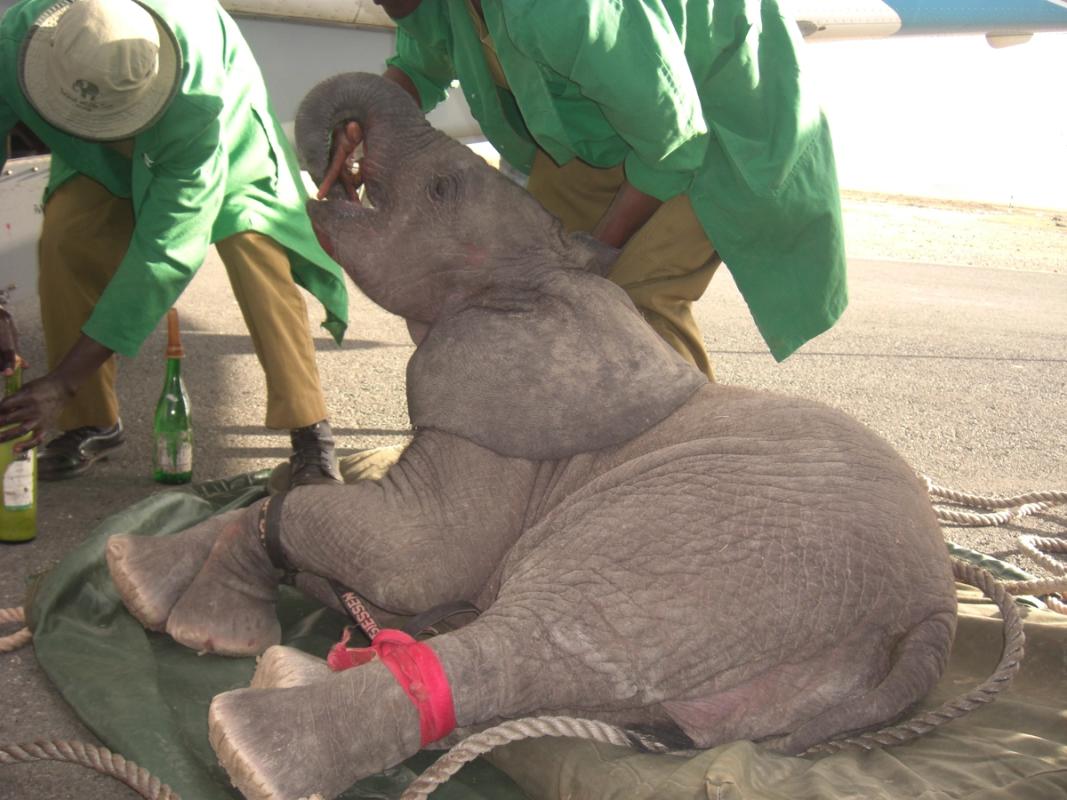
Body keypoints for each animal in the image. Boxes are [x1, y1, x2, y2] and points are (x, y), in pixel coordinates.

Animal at [104, 73, 958, 800]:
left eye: (444, 186)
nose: (343, 139)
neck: (557, 277)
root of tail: (930, 619)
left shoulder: (500, 426)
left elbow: (405, 555)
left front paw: (205, 627)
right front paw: (137, 578)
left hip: (715, 554)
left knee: (541, 637)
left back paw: (253, 736)